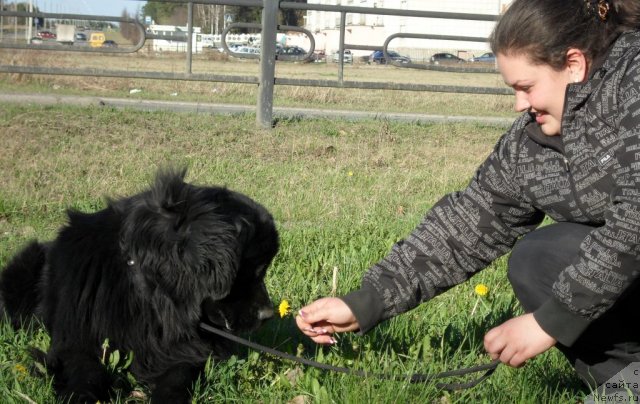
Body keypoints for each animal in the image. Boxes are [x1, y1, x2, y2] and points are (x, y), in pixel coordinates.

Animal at [0, 166, 280, 400]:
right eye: (250, 271)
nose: (269, 315)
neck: (149, 295)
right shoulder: (76, 340)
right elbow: (84, 373)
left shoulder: (180, 350)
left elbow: (179, 376)